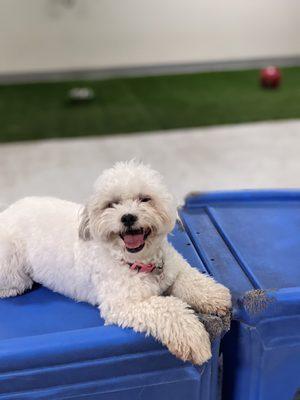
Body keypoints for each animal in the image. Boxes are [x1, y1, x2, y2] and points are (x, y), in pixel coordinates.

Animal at [0, 161, 231, 364]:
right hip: (11, 267)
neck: (138, 262)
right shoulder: (124, 304)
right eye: (111, 204)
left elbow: (191, 279)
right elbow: (169, 308)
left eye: (144, 199)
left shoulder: (174, 268)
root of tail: (7, 212)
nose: (128, 217)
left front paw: (215, 296)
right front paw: (194, 338)